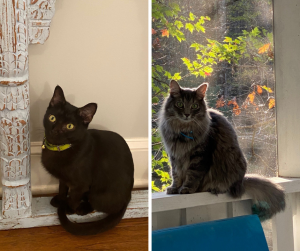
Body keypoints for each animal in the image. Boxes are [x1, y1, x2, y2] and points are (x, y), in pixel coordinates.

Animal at [41, 86, 134, 235]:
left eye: (70, 126)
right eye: (52, 118)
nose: (55, 130)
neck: (59, 149)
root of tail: (128, 198)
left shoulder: (81, 184)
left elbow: (74, 196)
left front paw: (69, 208)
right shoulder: (63, 178)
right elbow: (62, 188)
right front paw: (61, 199)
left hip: (98, 192)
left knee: (100, 205)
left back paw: (83, 208)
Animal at [158, 80, 284, 220]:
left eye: (194, 106)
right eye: (180, 104)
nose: (186, 114)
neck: (183, 130)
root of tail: (242, 181)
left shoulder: (200, 155)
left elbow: (192, 174)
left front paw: (186, 188)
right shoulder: (175, 155)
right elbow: (176, 174)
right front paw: (174, 188)